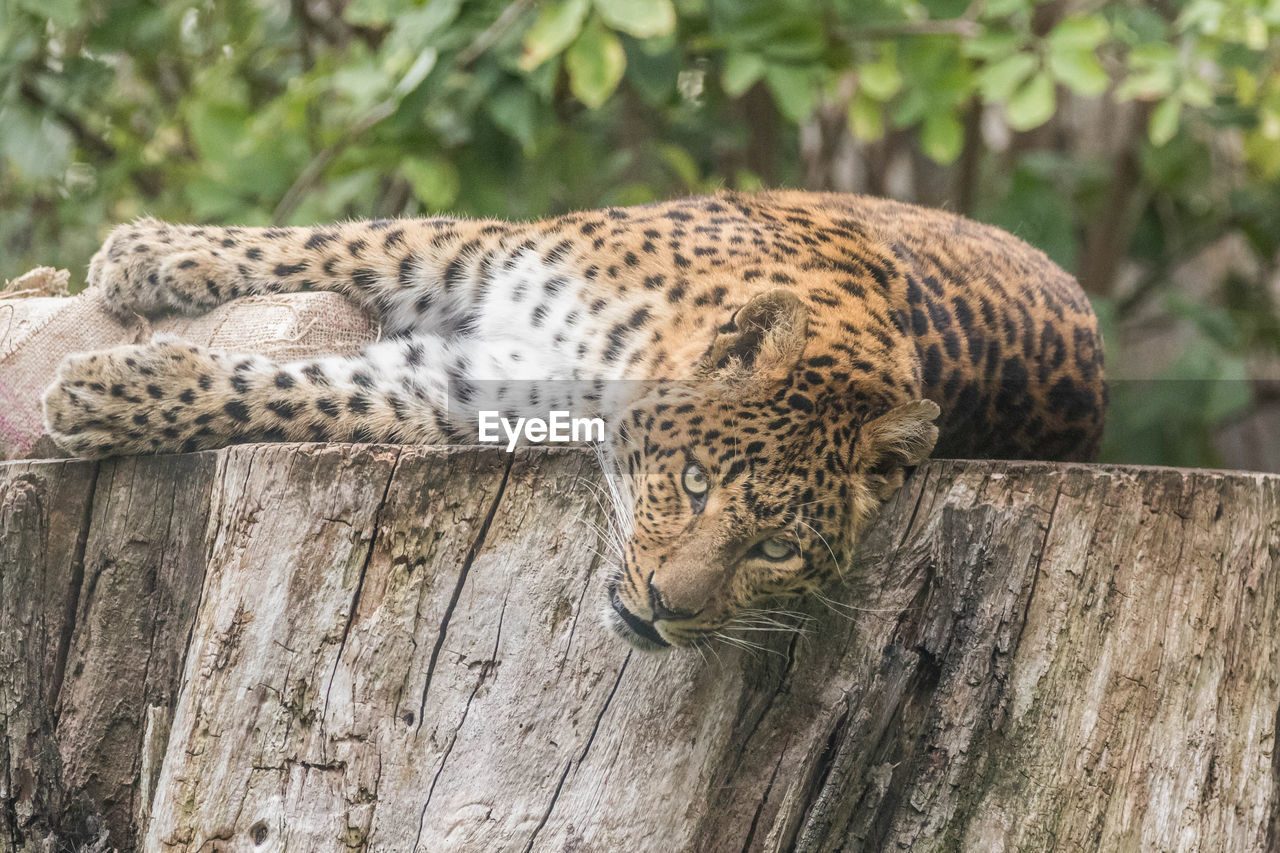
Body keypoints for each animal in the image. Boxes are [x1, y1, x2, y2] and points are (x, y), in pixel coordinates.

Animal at [40, 189, 1100, 648]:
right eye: (693, 483)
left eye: (776, 551)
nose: (672, 609)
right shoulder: (486, 252)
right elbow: (341, 239)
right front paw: (152, 255)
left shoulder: (456, 388)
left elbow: (308, 393)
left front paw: (105, 395)